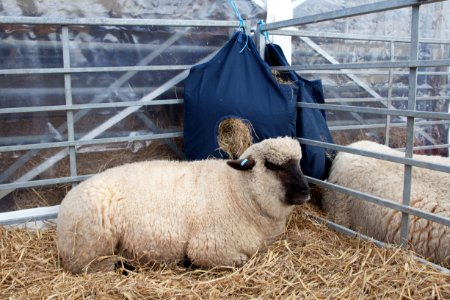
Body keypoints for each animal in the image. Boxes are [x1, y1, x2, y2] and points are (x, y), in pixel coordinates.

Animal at [56, 137, 312, 274]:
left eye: (299, 162)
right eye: (272, 165)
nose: (305, 191)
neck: (237, 192)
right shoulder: (209, 246)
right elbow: (236, 259)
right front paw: (189, 263)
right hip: (90, 245)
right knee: (88, 266)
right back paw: (124, 265)